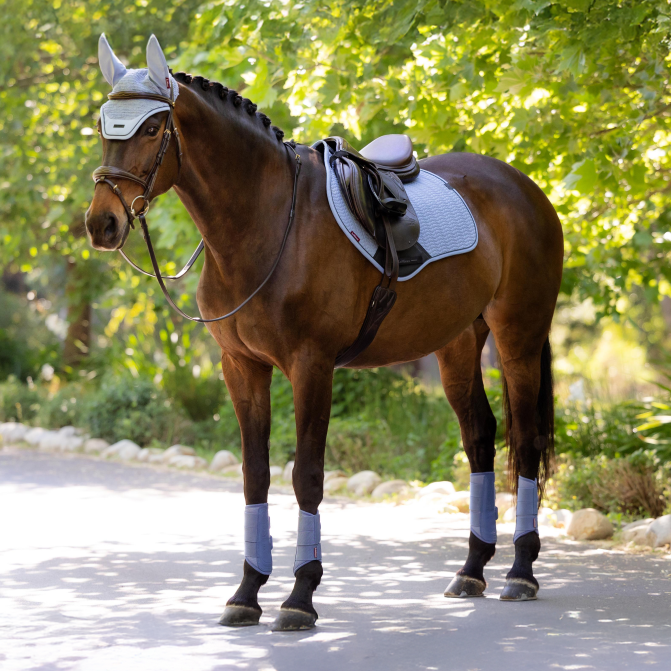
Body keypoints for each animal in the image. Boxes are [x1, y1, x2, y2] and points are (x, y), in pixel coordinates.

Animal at [85, 35, 563, 631]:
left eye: (152, 128)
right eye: (103, 124)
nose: (101, 223)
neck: (268, 223)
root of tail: (525, 188)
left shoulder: (311, 366)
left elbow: (307, 475)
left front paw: (299, 596)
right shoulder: (242, 367)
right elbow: (256, 475)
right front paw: (246, 592)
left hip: (519, 335)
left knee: (525, 440)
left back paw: (521, 571)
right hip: (456, 343)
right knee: (479, 436)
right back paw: (472, 569)